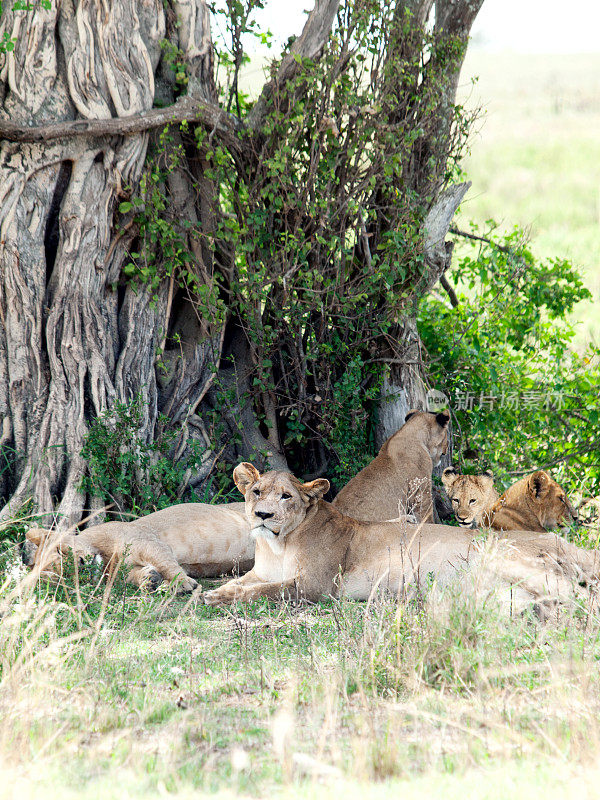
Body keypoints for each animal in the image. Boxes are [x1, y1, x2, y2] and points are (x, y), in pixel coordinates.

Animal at [23, 504, 251, 592]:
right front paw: (149, 580)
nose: (80, 563)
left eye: (60, 549)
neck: (106, 559)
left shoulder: (147, 541)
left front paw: (184, 583)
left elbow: (166, 563)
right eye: (65, 573)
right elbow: (134, 576)